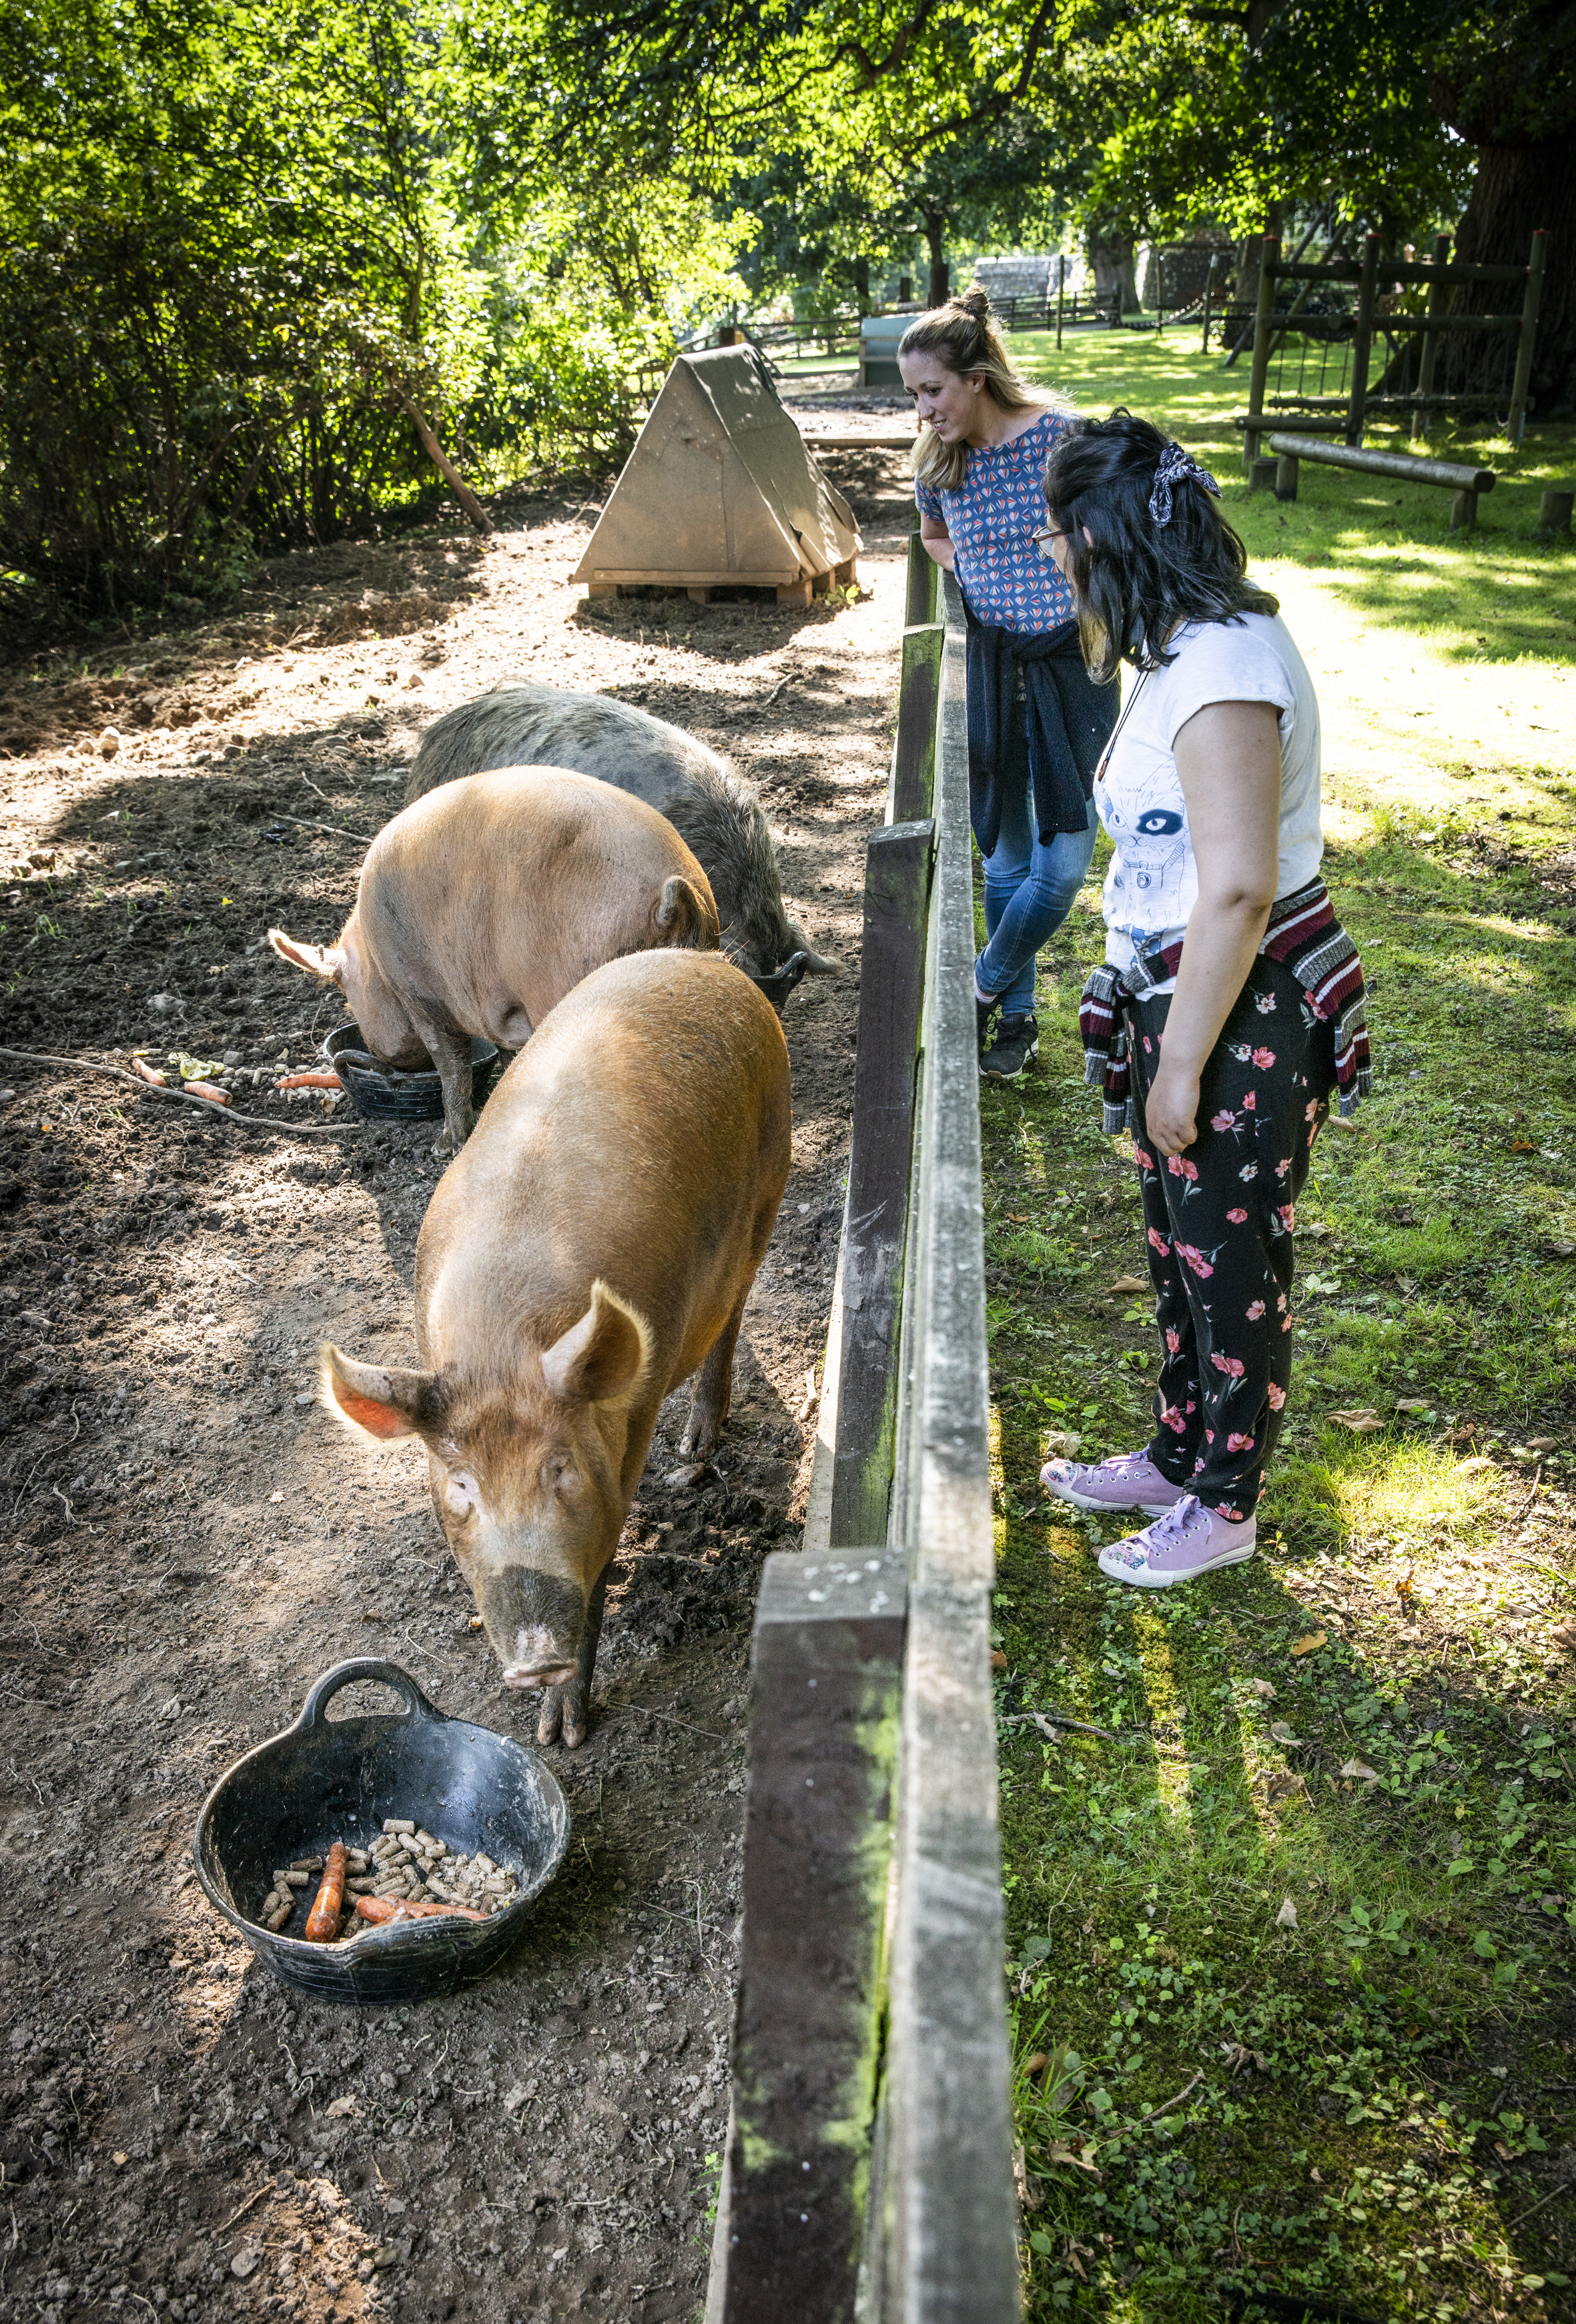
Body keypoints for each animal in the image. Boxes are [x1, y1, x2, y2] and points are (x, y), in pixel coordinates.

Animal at [272, 767, 716, 1148]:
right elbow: (506, 1056)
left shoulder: (419, 994)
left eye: (347, 995)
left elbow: (451, 1063)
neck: (372, 959)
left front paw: (447, 1145)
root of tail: (670, 894)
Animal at [323, 943, 795, 1748]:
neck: (501, 1344)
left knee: (733, 1315)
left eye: (561, 1469)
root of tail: (706, 960)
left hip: (771, 1182)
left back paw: (694, 1448)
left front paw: (563, 1735)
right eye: (461, 1486)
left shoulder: (633, 1416)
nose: (536, 1660)